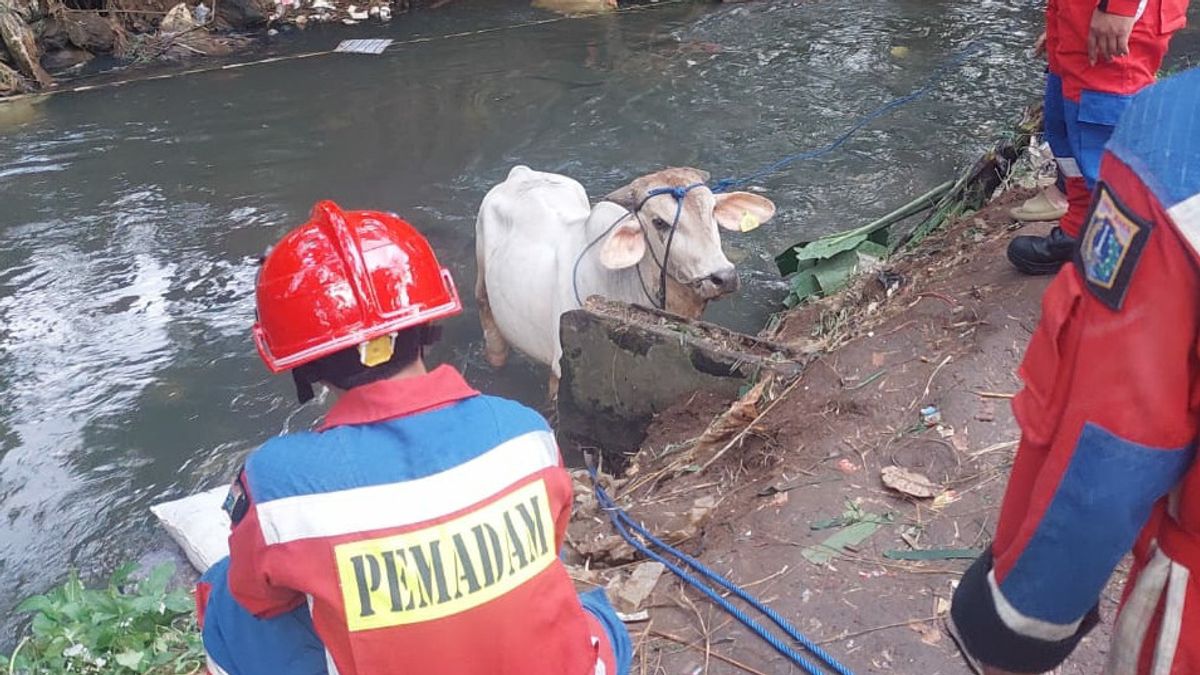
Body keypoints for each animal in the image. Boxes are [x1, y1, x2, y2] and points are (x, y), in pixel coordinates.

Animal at [472, 164, 772, 393]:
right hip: (483, 292)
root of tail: (520, 173)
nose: (724, 277)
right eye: (659, 222)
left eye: (711, 210)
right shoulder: (560, 369)